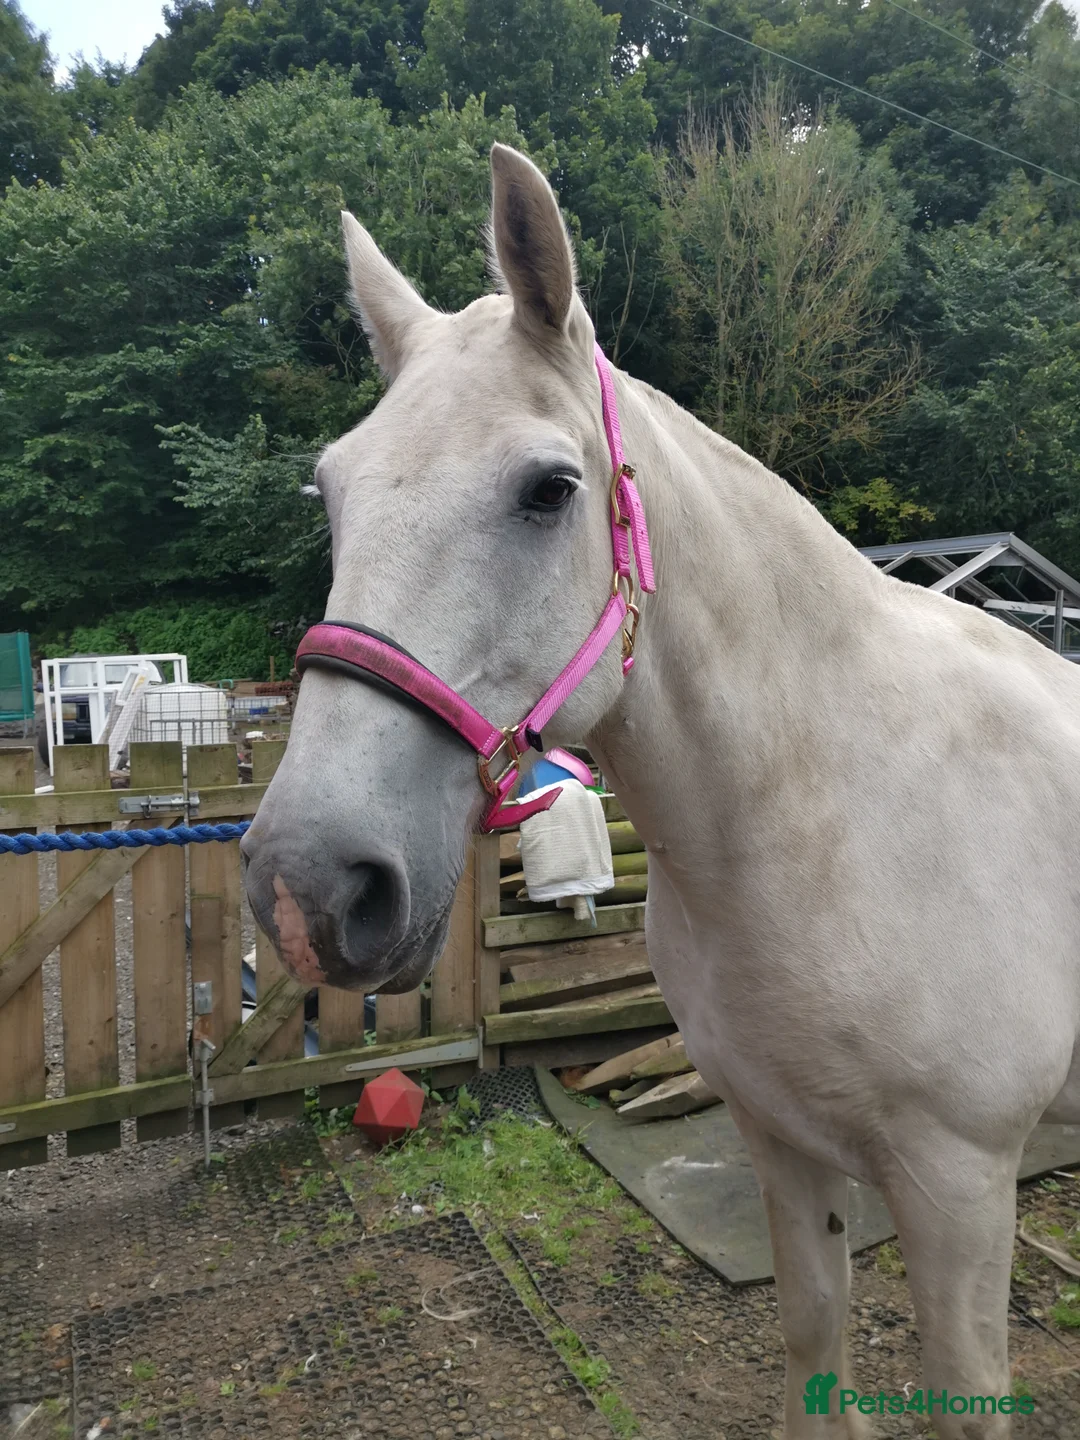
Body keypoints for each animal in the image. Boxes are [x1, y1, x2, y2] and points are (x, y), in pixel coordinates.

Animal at [241, 143, 1080, 1438]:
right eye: (331, 491)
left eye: (549, 489)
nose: (308, 887)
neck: (829, 813)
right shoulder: (780, 1141)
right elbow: (812, 1338)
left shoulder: (961, 1186)